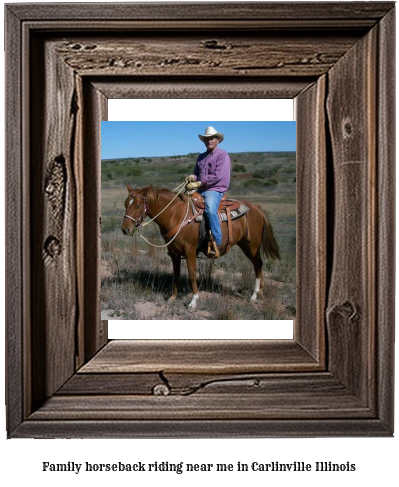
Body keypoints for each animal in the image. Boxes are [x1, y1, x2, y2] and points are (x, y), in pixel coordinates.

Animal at [122, 185, 282, 306]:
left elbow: (192, 274)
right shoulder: (174, 253)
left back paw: (254, 295)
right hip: (246, 244)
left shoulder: (190, 250)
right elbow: (175, 274)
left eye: (137, 205)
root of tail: (258, 208)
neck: (177, 215)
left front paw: (193, 301)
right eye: (125, 204)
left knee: (258, 264)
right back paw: (260, 292)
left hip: (251, 245)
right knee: (258, 265)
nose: (125, 229)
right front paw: (173, 297)